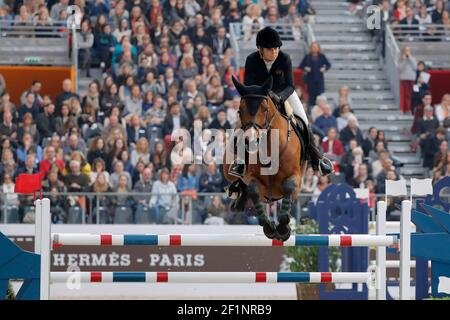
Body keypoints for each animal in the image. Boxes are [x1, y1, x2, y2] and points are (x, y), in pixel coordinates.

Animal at [223, 75, 308, 240]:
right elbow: (253, 190)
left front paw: (282, 229)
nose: (250, 141)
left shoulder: (296, 179)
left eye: (266, 109)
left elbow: (289, 187)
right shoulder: (256, 181)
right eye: (239, 111)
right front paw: (269, 228)